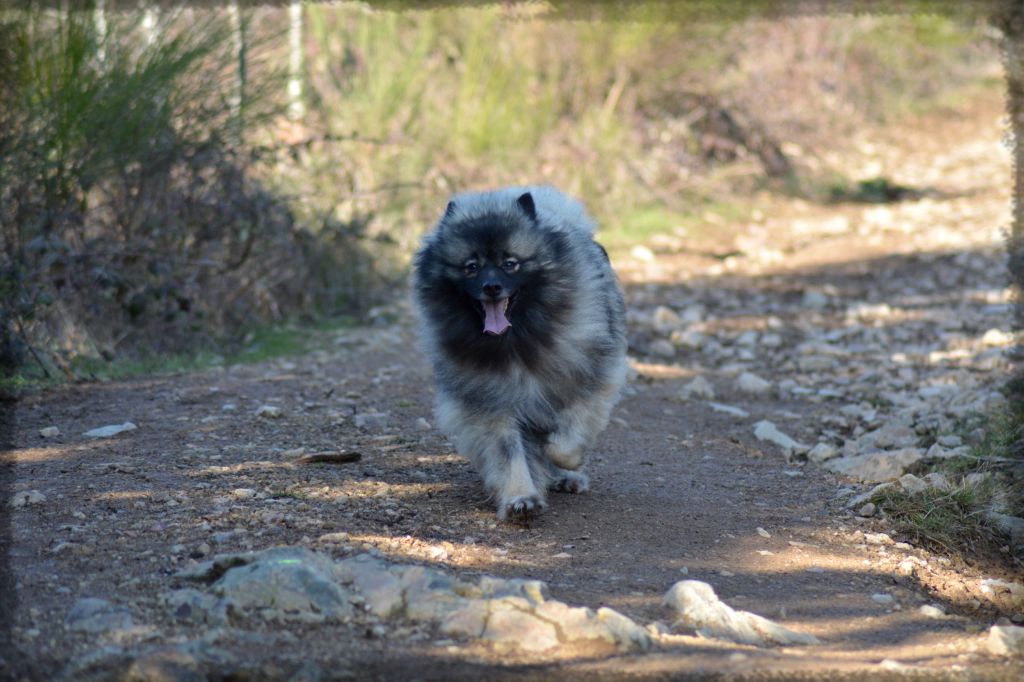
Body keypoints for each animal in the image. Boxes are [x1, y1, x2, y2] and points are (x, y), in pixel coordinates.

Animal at [412, 186, 627, 521]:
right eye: (471, 267)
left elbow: (568, 440)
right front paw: (520, 498)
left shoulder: (590, 380)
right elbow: (508, 453)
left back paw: (566, 476)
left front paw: (565, 460)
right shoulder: (493, 402)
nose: (491, 287)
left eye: (509, 263)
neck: (514, 341)